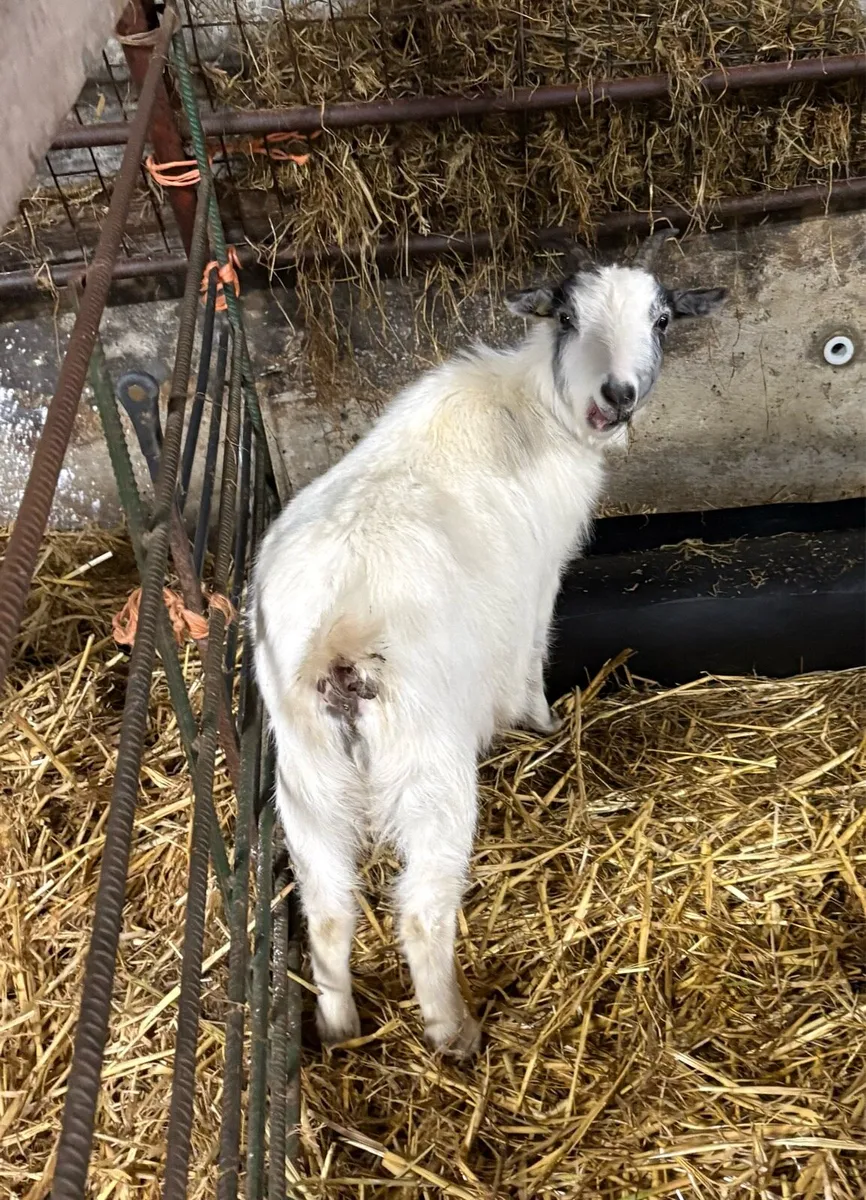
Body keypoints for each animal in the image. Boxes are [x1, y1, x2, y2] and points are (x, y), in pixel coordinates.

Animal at [252, 236, 726, 1057]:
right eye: (568, 317)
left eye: (661, 319)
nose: (620, 393)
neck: (541, 404)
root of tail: (338, 641)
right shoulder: (539, 582)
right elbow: (531, 661)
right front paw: (546, 727)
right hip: (428, 769)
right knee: (420, 913)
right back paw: (454, 1030)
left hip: (307, 782)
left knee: (329, 908)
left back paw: (339, 1027)